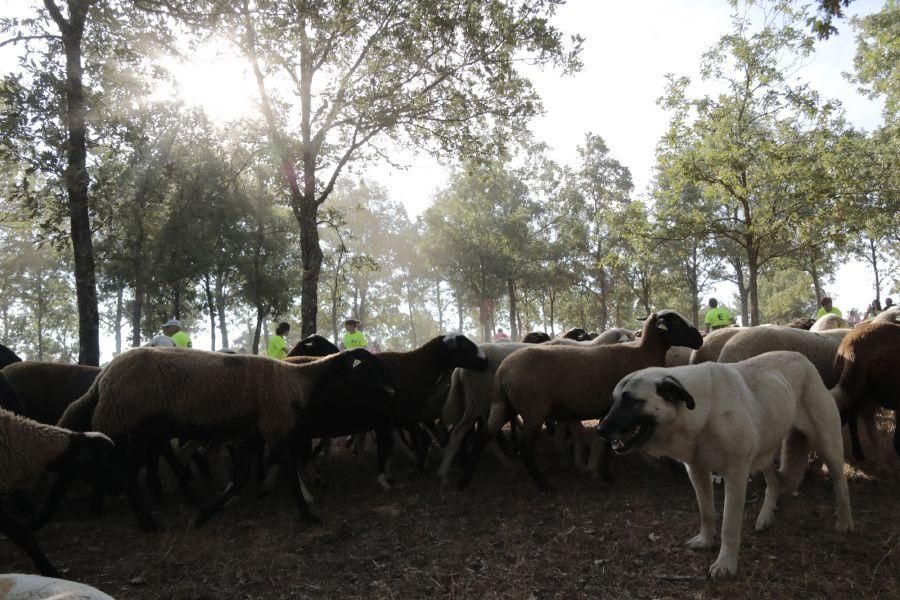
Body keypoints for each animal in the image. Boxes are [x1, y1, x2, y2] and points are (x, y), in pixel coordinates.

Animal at [596, 352, 852, 576]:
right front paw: (706, 540)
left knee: (841, 482)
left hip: (827, 444)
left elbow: (729, 524)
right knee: (774, 482)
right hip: (762, 452)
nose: (600, 430)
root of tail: (803, 359)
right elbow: (707, 512)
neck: (703, 413)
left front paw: (726, 564)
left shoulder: (736, 475)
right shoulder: (697, 471)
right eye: (614, 401)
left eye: (631, 402)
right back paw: (765, 516)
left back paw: (845, 522)